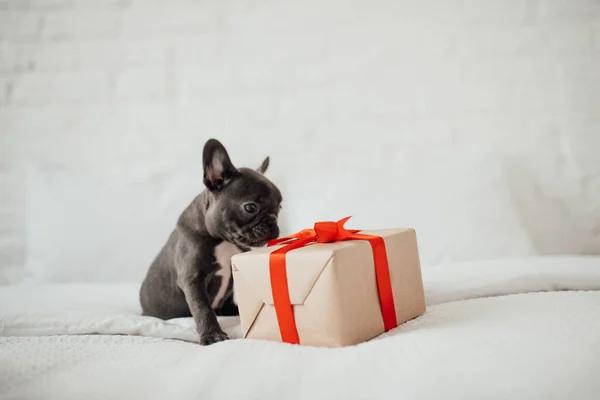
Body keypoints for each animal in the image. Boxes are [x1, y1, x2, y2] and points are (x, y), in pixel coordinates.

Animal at [139, 139, 282, 346]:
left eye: (279, 207)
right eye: (250, 207)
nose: (272, 222)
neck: (222, 241)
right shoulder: (192, 278)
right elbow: (202, 308)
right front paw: (212, 334)